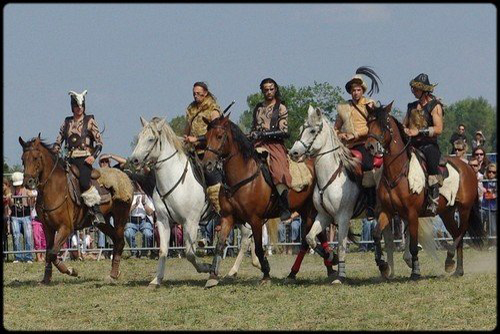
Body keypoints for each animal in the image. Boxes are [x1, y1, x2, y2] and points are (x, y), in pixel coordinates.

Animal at [19, 134, 133, 284]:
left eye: (36, 157)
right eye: (23, 159)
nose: (28, 182)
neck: (55, 188)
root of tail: (125, 176)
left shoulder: (66, 228)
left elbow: (53, 253)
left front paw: (71, 271)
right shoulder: (48, 228)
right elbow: (48, 252)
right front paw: (46, 279)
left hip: (121, 216)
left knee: (120, 242)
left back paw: (113, 274)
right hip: (104, 222)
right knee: (115, 240)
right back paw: (115, 273)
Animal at [129, 117, 262, 288]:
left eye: (151, 139)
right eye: (139, 138)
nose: (134, 160)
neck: (176, 179)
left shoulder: (190, 222)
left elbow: (189, 253)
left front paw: (206, 267)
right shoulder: (163, 221)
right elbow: (163, 251)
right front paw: (156, 280)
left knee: (248, 236)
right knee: (247, 236)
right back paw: (240, 268)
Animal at [201, 114, 338, 288]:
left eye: (219, 136)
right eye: (206, 137)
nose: (207, 164)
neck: (243, 177)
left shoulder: (255, 220)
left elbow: (259, 248)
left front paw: (266, 273)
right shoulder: (228, 217)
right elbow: (219, 245)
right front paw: (212, 276)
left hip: (310, 211)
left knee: (310, 240)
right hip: (305, 210)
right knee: (315, 237)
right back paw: (318, 269)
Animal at [366, 100, 486, 278]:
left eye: (383, 124)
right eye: (368, 123)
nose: (370, 146)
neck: (398, 171)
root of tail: (468, 168)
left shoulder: (412, 214)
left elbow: (413, 245)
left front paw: (415, 271)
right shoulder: (387, 211)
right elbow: (375, 234)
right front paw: (383, 266)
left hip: (464, 208)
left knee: (461, 232)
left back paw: (450, 260)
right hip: (446, 212)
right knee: (456, 233)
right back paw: (458, 269)